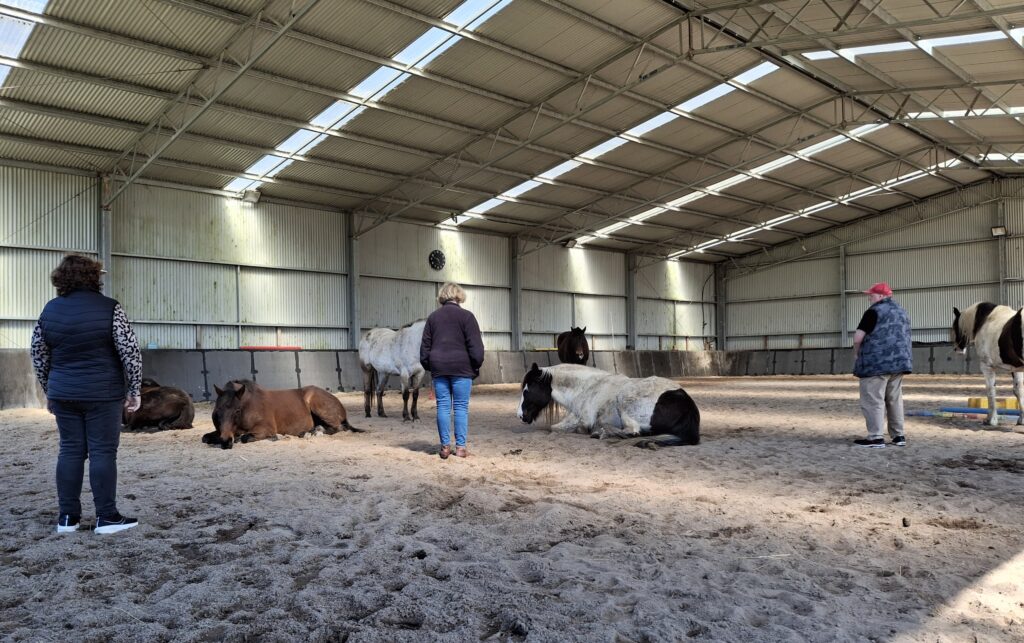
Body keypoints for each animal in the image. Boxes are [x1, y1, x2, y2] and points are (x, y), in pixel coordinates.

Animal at [201, 380, 361, 449]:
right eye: (217, 411)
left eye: (237, 411)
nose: (225, 441)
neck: (247, 405)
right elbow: (205, 438)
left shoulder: (265, 428)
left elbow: (245, 437)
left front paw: (275, 437)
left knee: (336, 428)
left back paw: (314, 432)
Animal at [517, 363, 700, 447]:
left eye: (527, 390)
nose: (520, 415)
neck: (586, 387)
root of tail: (688, 407)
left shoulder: (583, 421)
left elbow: (557, 428)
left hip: (625, 402)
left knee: (633, 432)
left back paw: (602, 433)